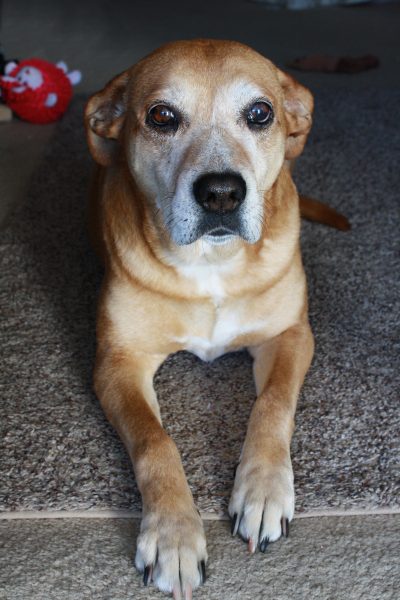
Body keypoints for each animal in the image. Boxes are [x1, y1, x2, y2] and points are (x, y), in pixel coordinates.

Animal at [83, 39, 346, 596]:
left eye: (260, 113)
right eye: (161, 116)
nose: (222, 192)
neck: (212, 264)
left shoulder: (290, 335)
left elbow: (272, 404)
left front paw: (263, 491)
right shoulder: (118, 362)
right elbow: (154, 442)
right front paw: (173, 535)